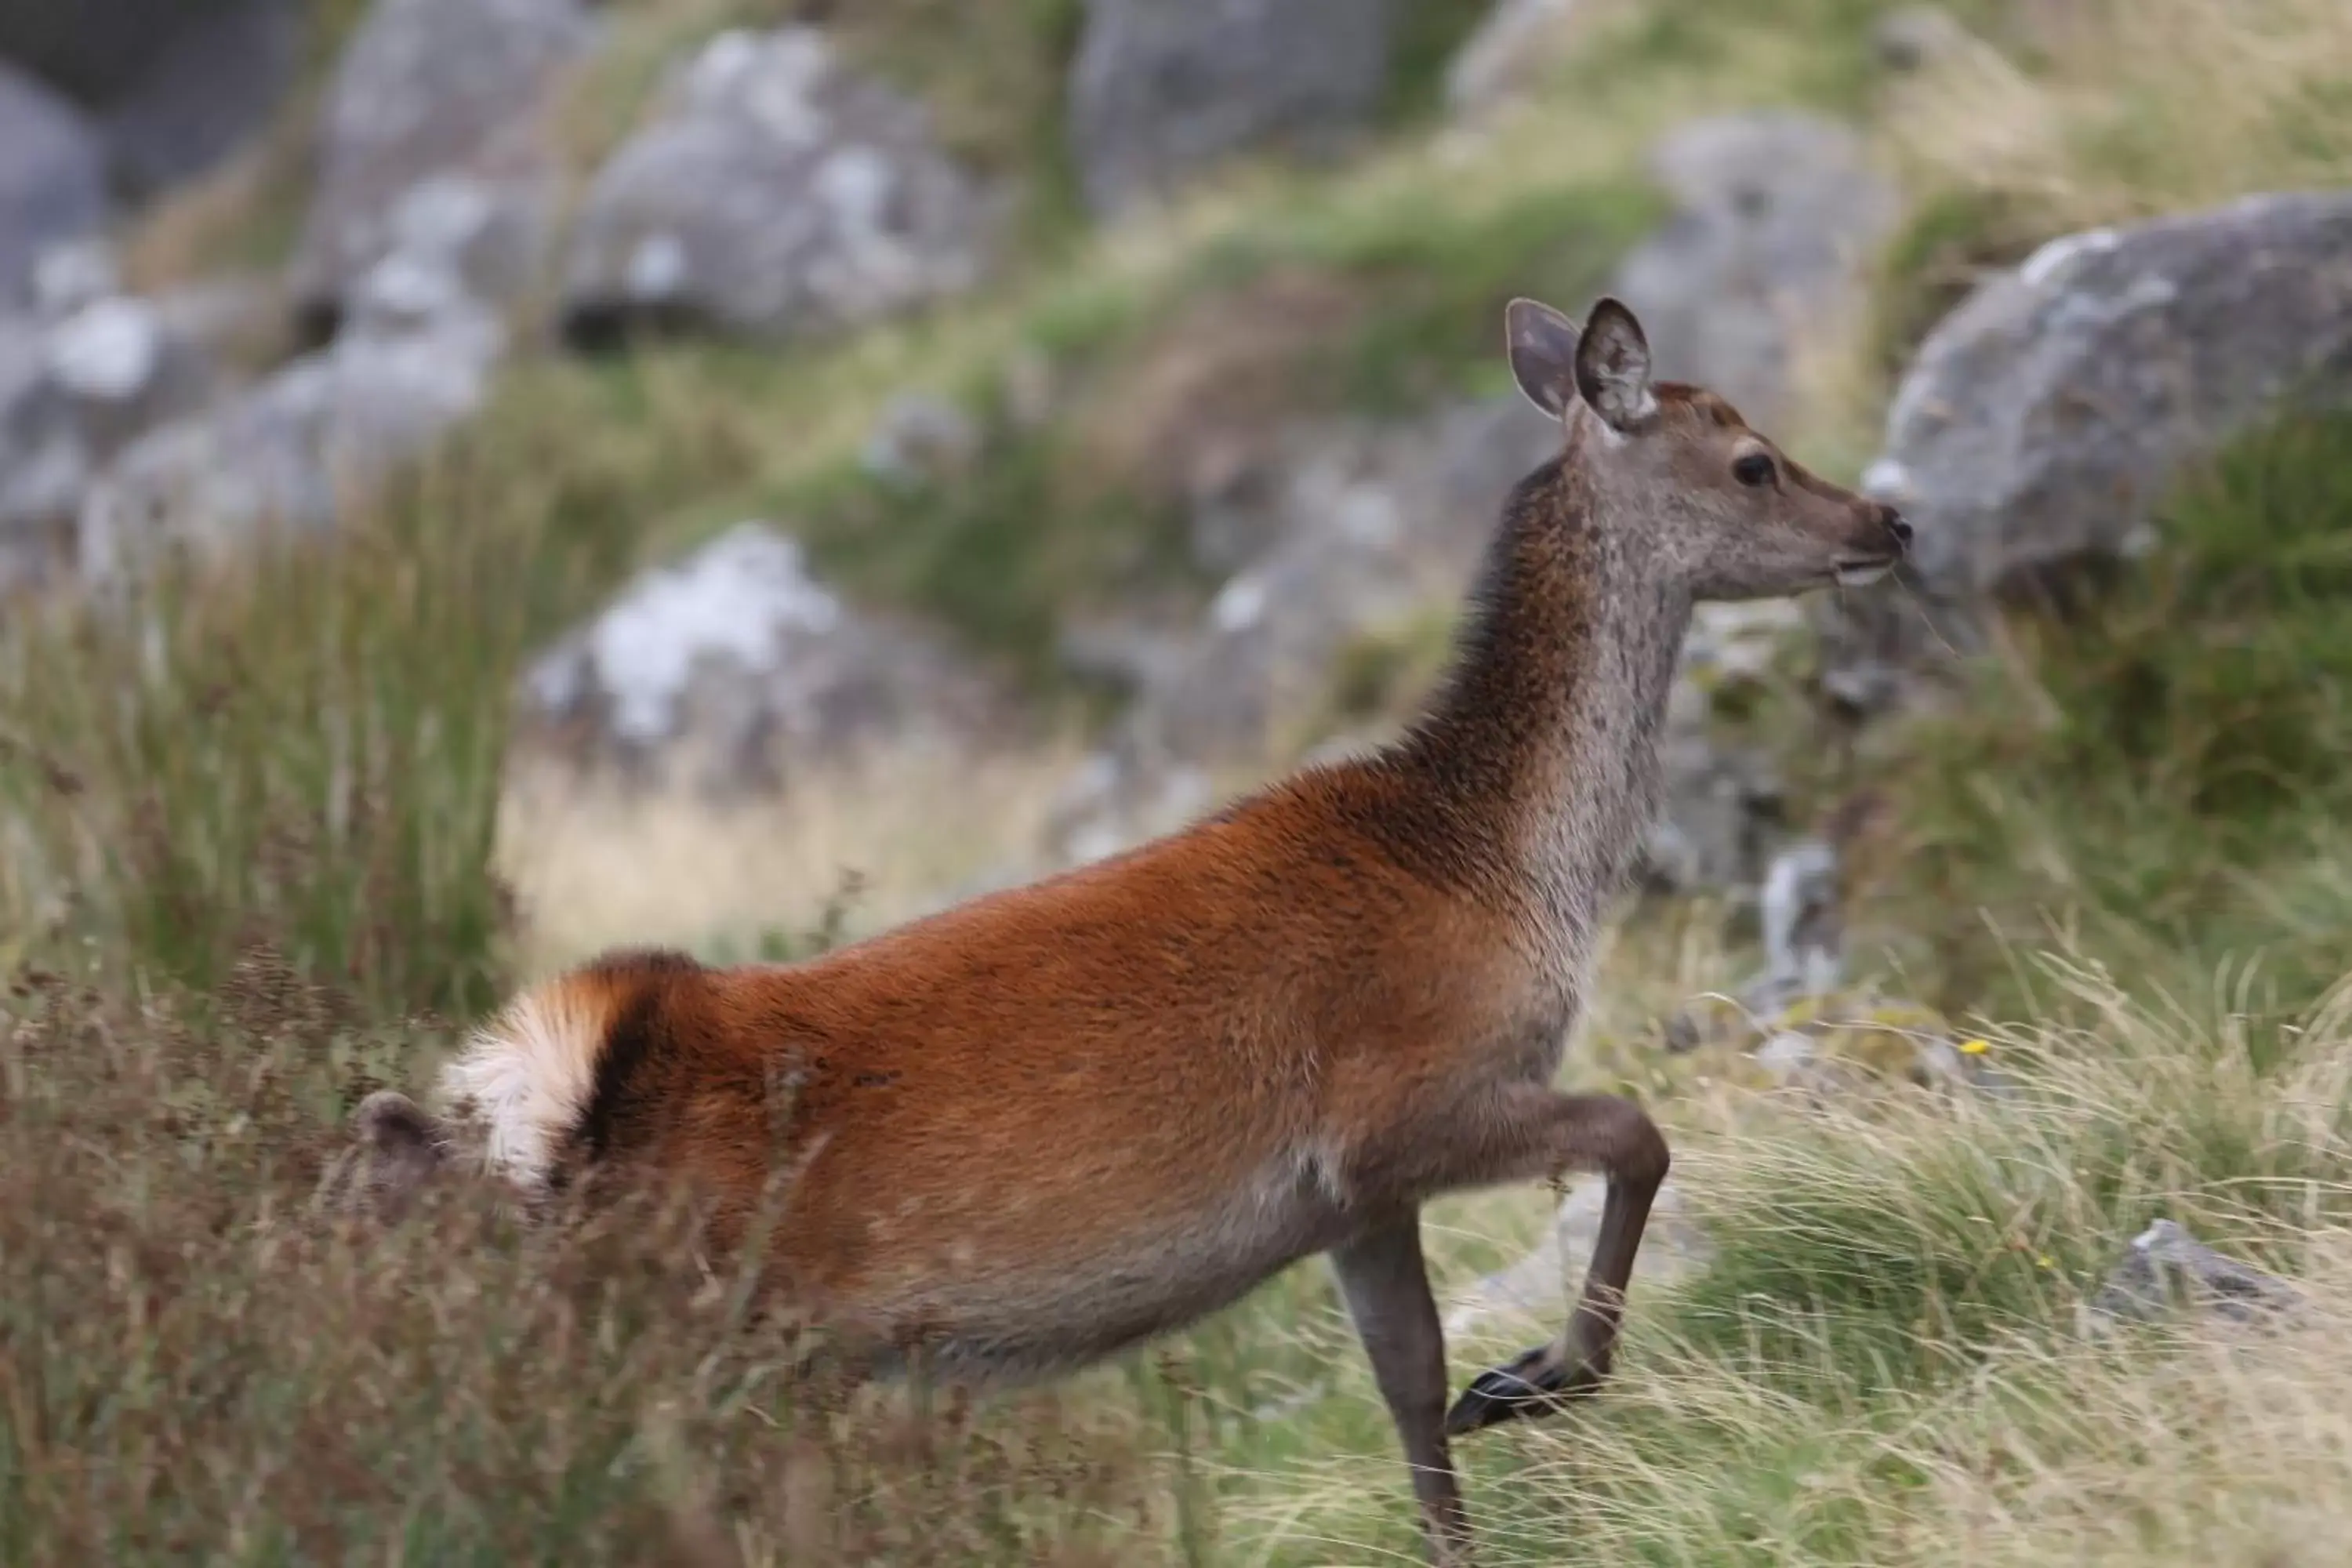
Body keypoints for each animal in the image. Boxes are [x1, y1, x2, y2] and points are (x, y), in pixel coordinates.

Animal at [336, 297, 1910, 1568]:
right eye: (1752, 458)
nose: (1891, 522)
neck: (1499, 873)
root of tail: (551, 1093)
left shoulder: (1349, 1199)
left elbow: (1406, 1381)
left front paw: (1473, 1467)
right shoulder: (1406, 1098)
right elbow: (1637, 1134)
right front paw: (1533, 1379)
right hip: (719, 1334)